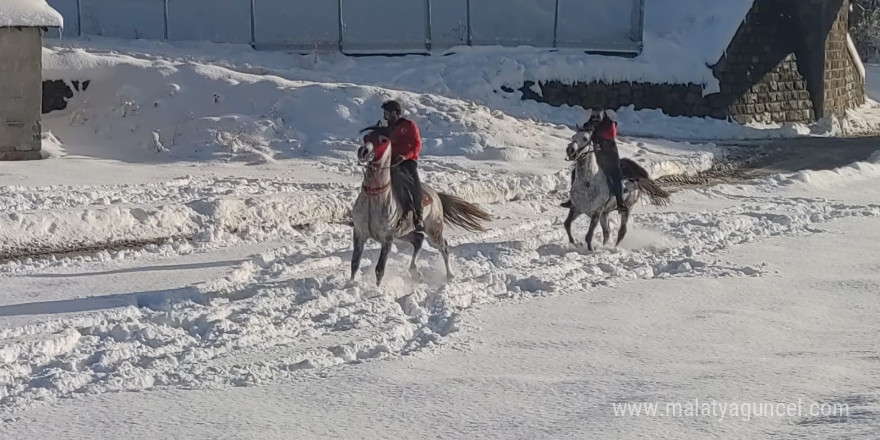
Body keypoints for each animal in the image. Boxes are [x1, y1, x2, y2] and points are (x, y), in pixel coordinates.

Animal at [348, 130, 488, 286]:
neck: (374, 200)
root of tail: (436, 195)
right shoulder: (359, 234)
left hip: (433, 230)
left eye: (383, 140)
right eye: (366, 137)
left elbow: (379, 269)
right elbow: (354, 263)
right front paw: (350, 284)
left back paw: (450, 275)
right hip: (403, 233)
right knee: (419, 239)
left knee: (443, 246)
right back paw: (415, 272)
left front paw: (377, 289)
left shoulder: (387, 239)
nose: (363, 151)